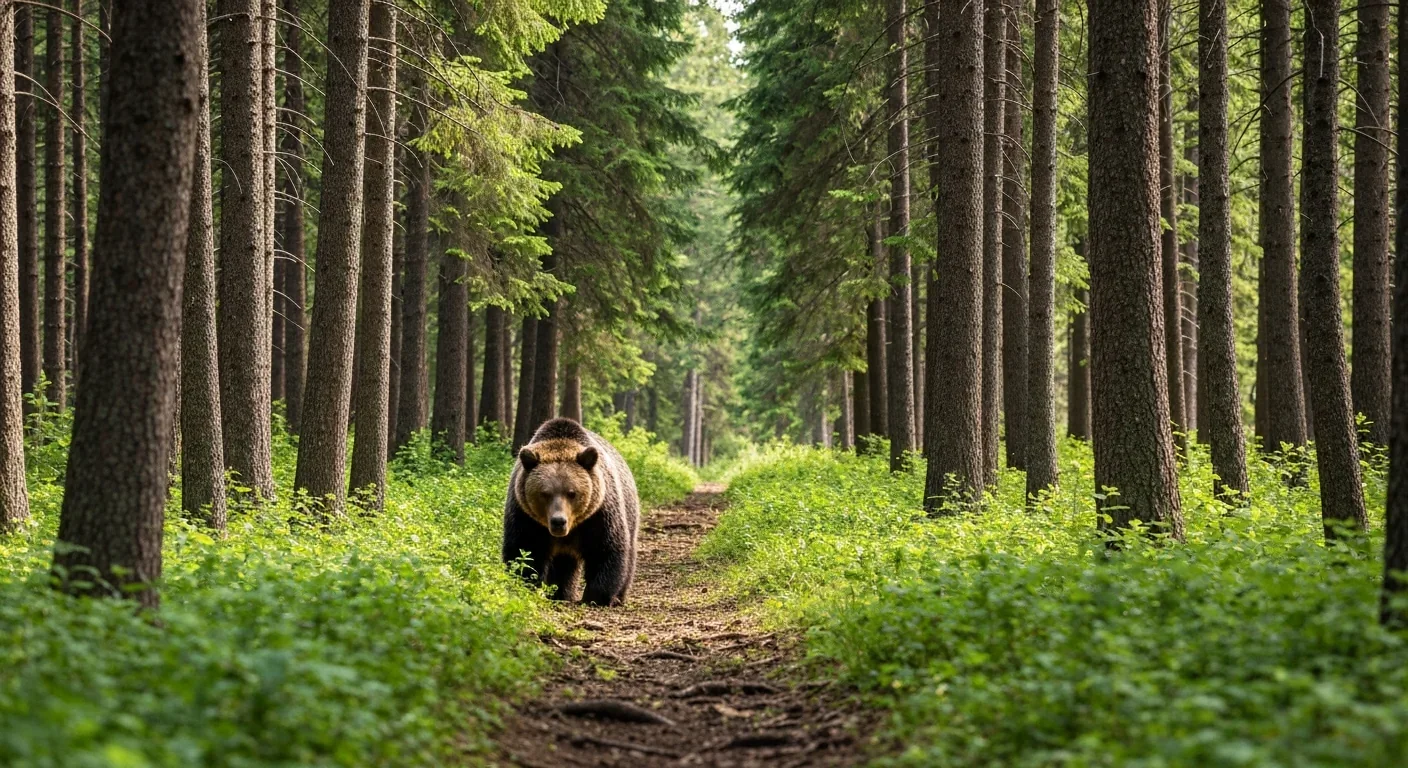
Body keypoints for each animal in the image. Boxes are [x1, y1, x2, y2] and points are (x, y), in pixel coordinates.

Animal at [502, 418, 641, 606]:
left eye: (572, 493)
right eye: (544, 493)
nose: (558, 521)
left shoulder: (599, 514)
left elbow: (604, 549)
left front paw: (596, 596)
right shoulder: (526, 516)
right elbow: (525, 549)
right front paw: (527, 586)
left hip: (629, 511)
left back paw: (619, 596)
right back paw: (561, 593)